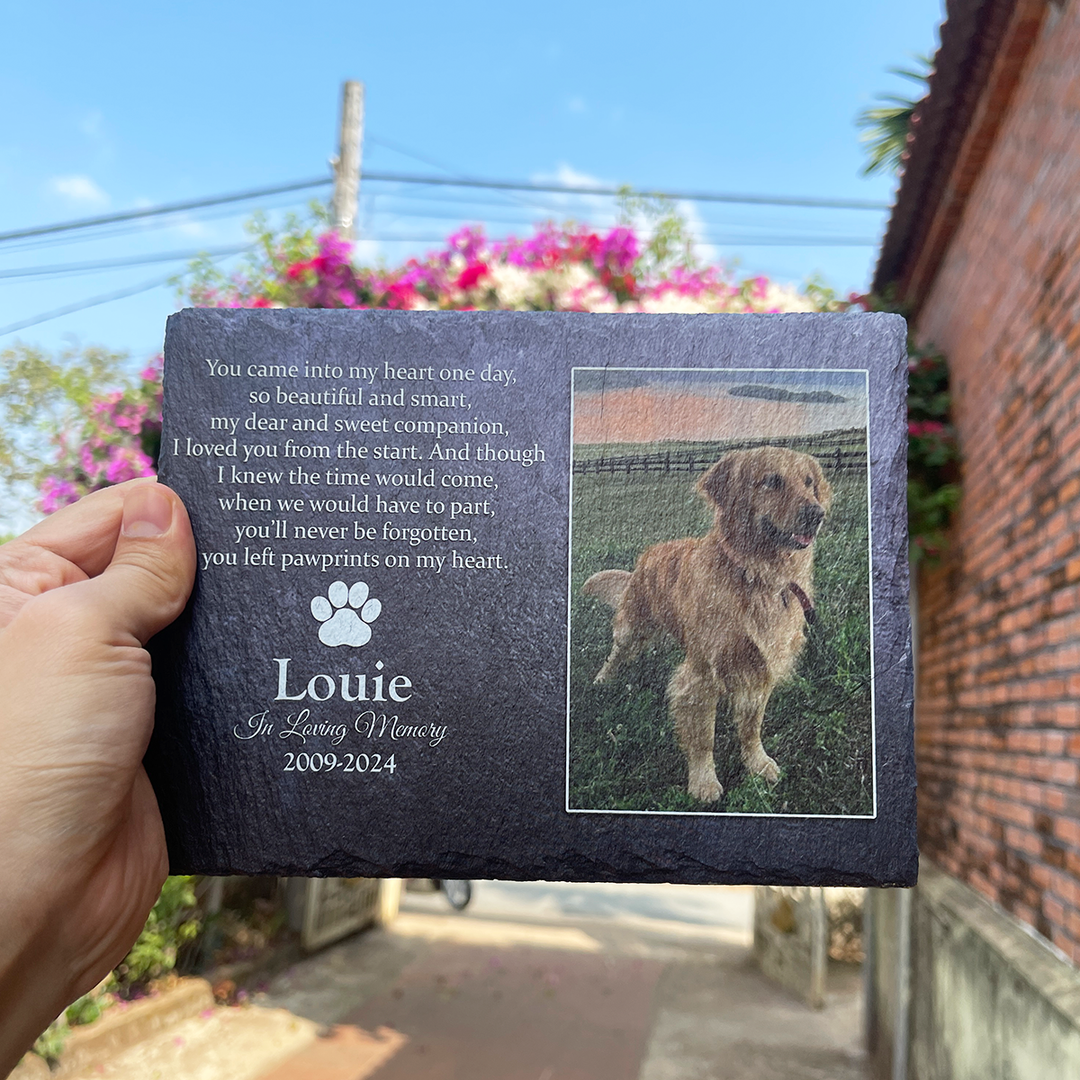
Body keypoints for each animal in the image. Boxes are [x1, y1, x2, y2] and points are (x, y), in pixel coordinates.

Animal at [587, 444, 829, 803]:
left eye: (809, 482)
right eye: (771, 481)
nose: (816, 514)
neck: (757, 575)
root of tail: (647, 555)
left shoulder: (761, 667)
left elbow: (752, 726)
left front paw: (757, 762)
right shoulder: (701, 676)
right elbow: (703, 737)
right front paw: (703, 782)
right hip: (633, 626)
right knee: (616, 653)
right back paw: (603, 679)